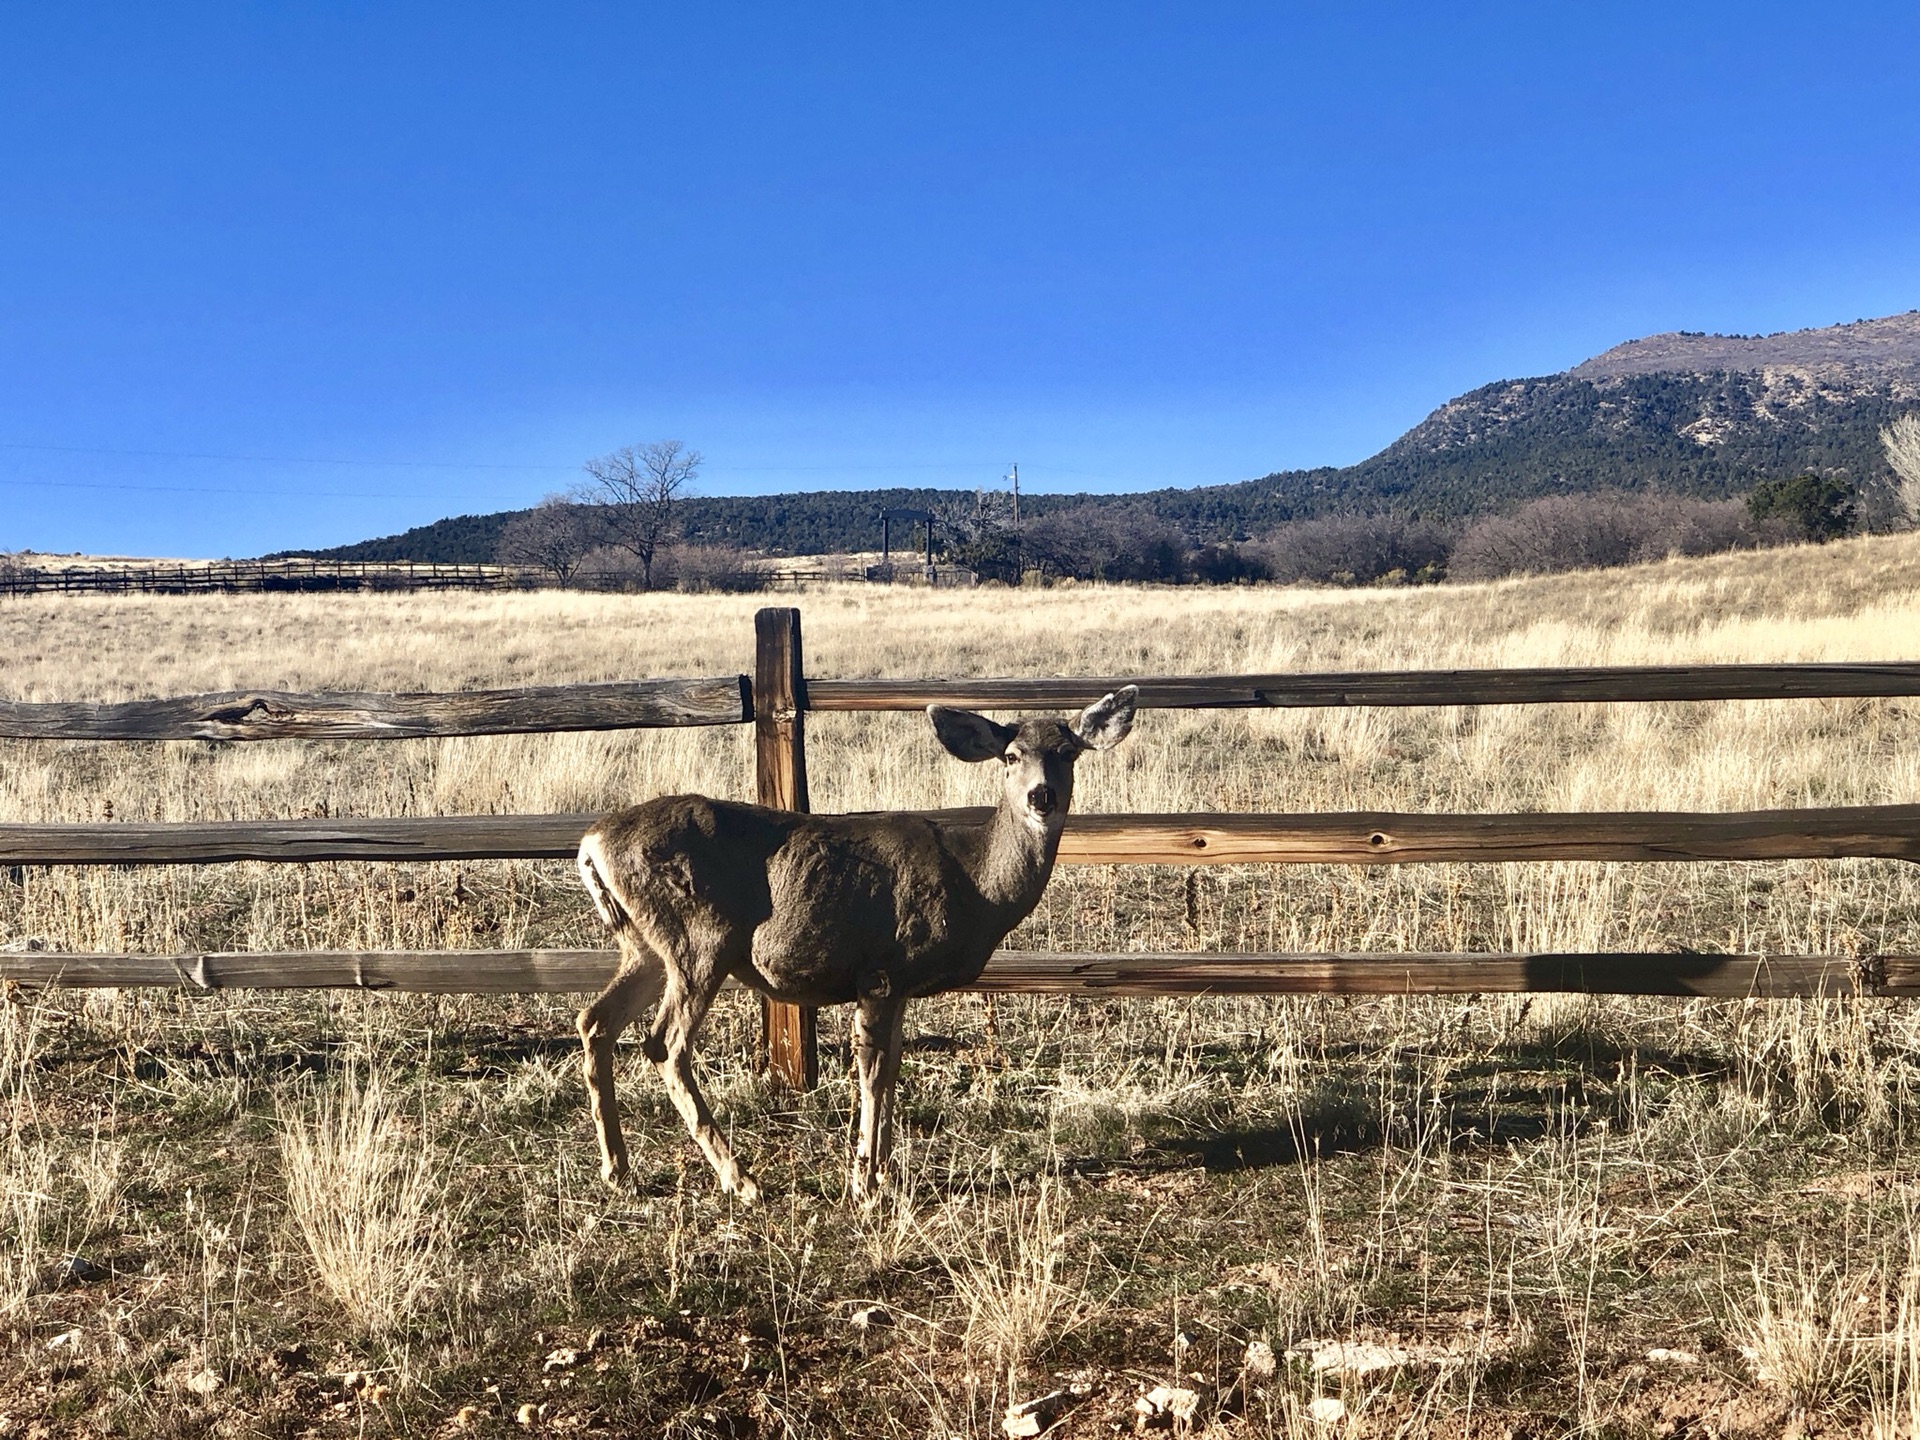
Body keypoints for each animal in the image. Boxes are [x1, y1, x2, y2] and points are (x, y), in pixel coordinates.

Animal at [576, 683, 1128, 1198]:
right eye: (1011, 756)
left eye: (1068, 751)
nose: (1041, 796)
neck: (976, 884)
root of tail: (590, 843)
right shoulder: (881, 969)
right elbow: (873, 1071)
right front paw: (866, 1180)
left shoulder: (899, 983)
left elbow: (893, 1065)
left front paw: (883, 1170)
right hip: (701, 937)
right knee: (666, 1043)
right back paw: (741, 1179)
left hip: (645, 945)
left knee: (595, 1020)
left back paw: (617, 1169)